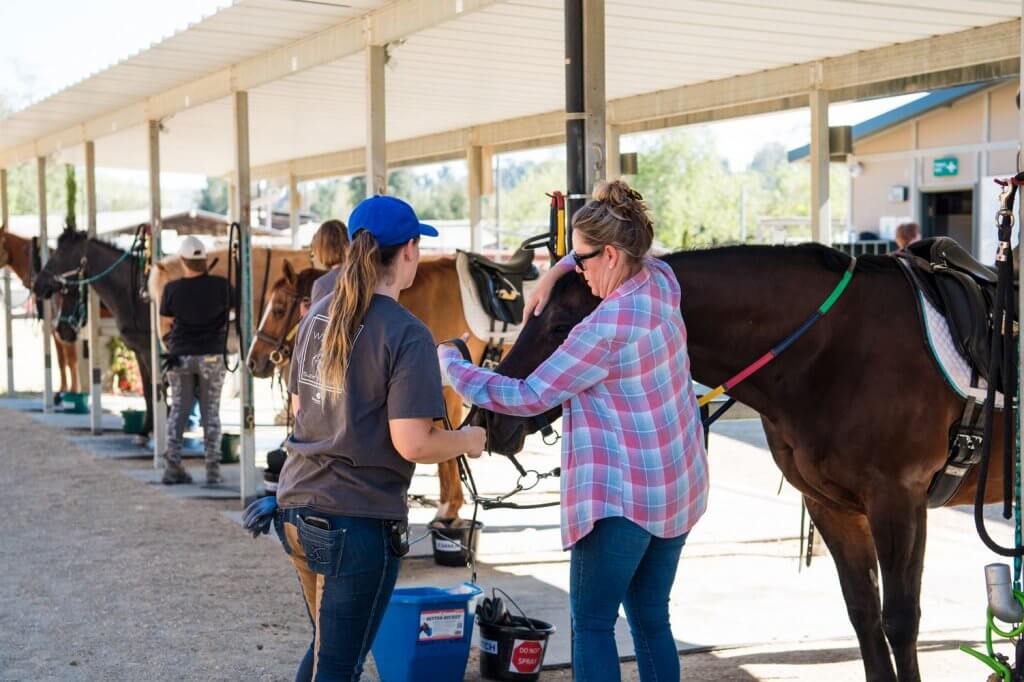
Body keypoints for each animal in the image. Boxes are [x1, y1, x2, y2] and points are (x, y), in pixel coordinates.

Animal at [0, 225, 82, 398]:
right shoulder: (53, 330)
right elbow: (61, 360)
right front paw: (62, 390)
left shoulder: (66, 329)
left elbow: (71, 360)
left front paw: (74, 391)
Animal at [33, 229, 156, 435]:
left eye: (59, 253)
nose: (37, 285)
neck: (135, 293)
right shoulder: (140, 351)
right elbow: (148, 390)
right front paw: (147, 431)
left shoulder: (149, 350)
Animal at [468, 243, 1008, 682]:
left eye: (562, 327)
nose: (488, 419)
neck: (836, 346)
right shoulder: (833, 507)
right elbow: (865, 617)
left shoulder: (899, 499)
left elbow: (899, 621)